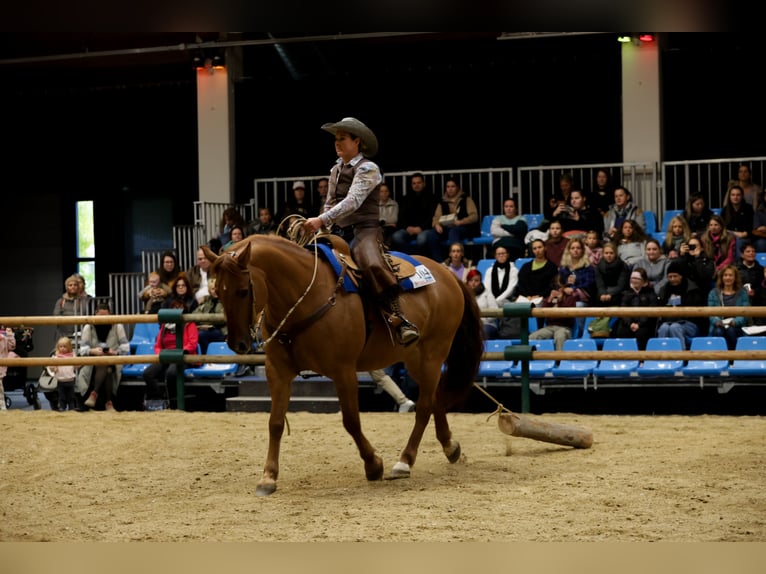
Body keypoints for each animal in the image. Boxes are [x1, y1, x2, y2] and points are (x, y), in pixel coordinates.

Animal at [202, 233, 484, 496]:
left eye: (243, 291)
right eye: (218, 292)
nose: (237, 343)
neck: (303, 296)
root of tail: (447, 275)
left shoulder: (343, 370)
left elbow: (351, 421)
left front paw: (373, 465)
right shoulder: (277, 372)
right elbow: (275, 422)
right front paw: (268, 477)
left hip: (433, 354)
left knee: (424, 407)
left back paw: (404, 462)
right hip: (415, 358)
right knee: (434, 399)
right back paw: (450, 447)